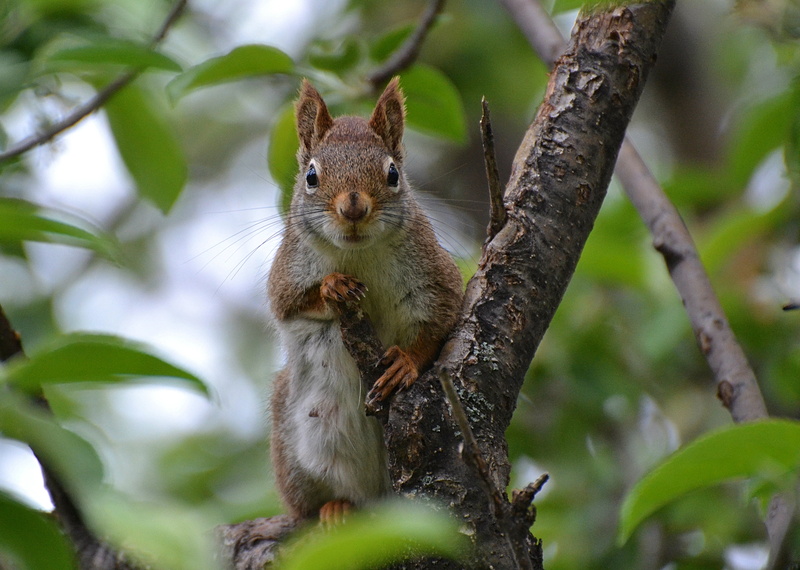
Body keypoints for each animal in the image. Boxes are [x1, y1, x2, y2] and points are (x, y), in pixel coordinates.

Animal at [267, 78, 464, 524]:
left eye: (393, 173)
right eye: (311, 176)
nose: (353, 207)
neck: (357, 255)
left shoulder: (436, 279)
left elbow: (439, 324)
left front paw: (405, 363)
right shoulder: (286, 275)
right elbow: (289, 304)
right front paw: (332, 287)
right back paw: (336, 508)